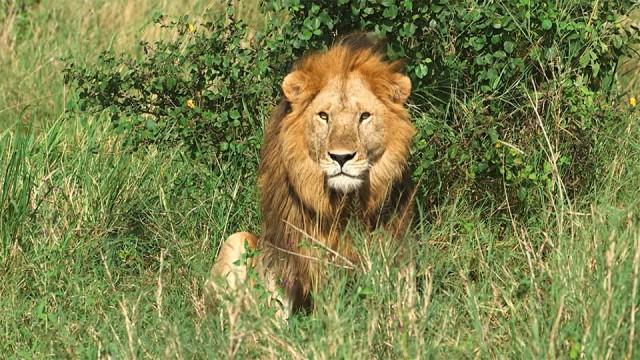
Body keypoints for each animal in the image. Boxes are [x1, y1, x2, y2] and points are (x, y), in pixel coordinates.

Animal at [205, 33, 416, 316]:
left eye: (364, 116)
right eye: (323, 116)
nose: (341, 157)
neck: (342, 206)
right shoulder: (289, 255)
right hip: (236, 240)